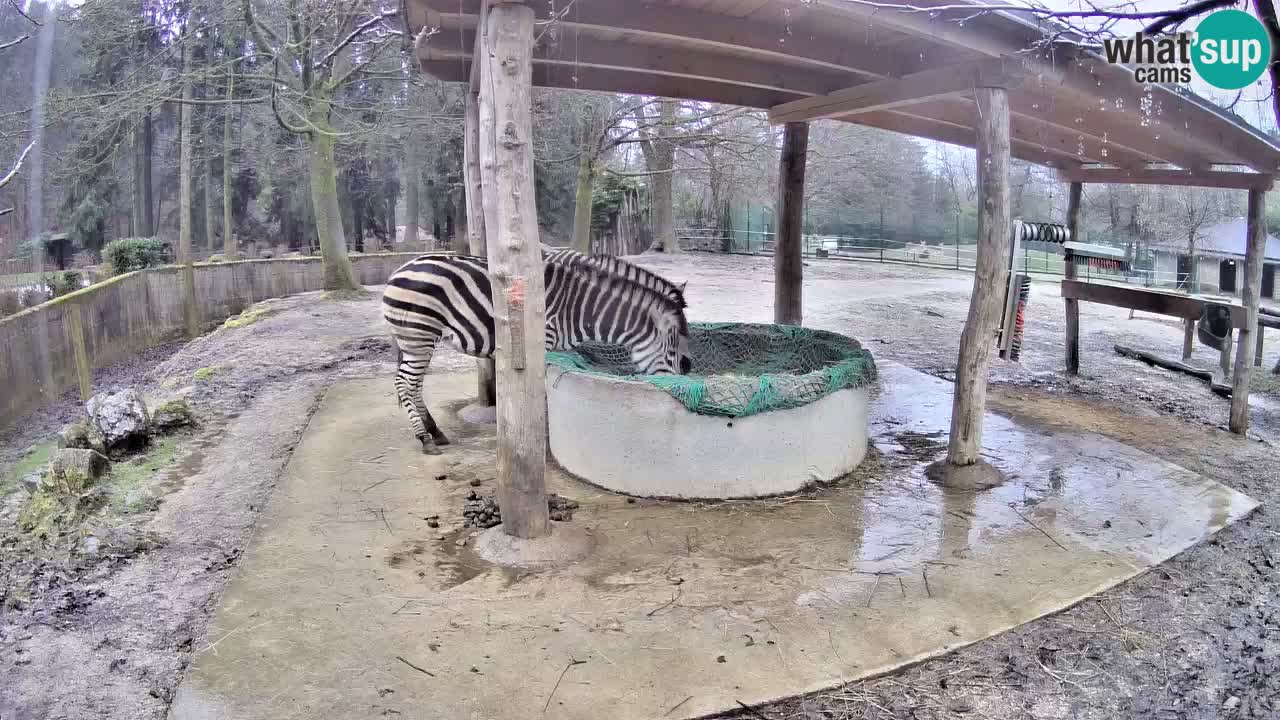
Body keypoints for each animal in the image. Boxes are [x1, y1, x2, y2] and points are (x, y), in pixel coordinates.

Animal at [384, 252, 696, 450]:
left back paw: (435, 432)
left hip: (416, 339)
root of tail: (397, 271)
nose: (683, 377)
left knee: (414, 385)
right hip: (419, 335)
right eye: (676, 354)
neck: (581, 306)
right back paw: (425, 439)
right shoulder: (541, 343)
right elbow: (539, 395)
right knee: (404, 383)